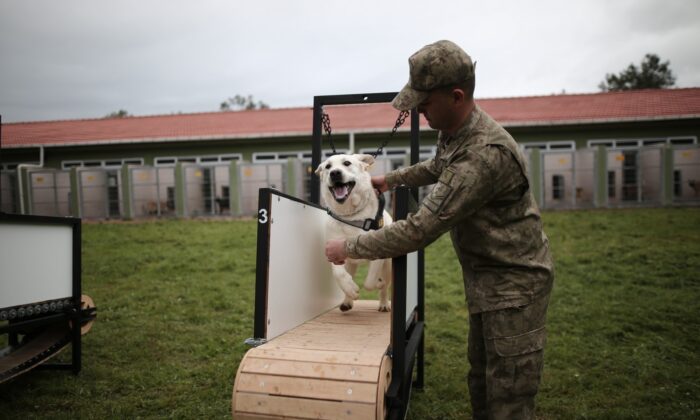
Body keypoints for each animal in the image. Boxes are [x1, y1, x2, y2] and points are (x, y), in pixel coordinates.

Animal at [318, 154, 394, 312]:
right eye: (327, 166)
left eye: (347, 163)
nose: (335, 173)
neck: (351, 217)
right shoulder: (334, 250)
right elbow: (339, 273)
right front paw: (351, 290)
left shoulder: (378, 254)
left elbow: (370, 282)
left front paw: (378, 283)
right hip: (351, 264)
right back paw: (347, 301)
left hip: (388, 265)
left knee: (385, 286)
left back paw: (384, 303)